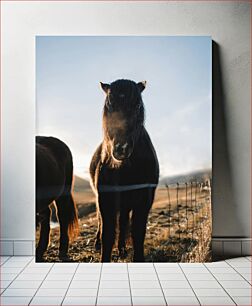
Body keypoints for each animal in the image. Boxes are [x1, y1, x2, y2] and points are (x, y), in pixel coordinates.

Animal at [89, 78, 158, 260]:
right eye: (109, 103)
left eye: (138, 104)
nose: (122, 148)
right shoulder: (105, 199)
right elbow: (107, 235)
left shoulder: (144, 201)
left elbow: (137, 233)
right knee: (101, 221)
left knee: (123, 222)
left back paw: (121, 248)